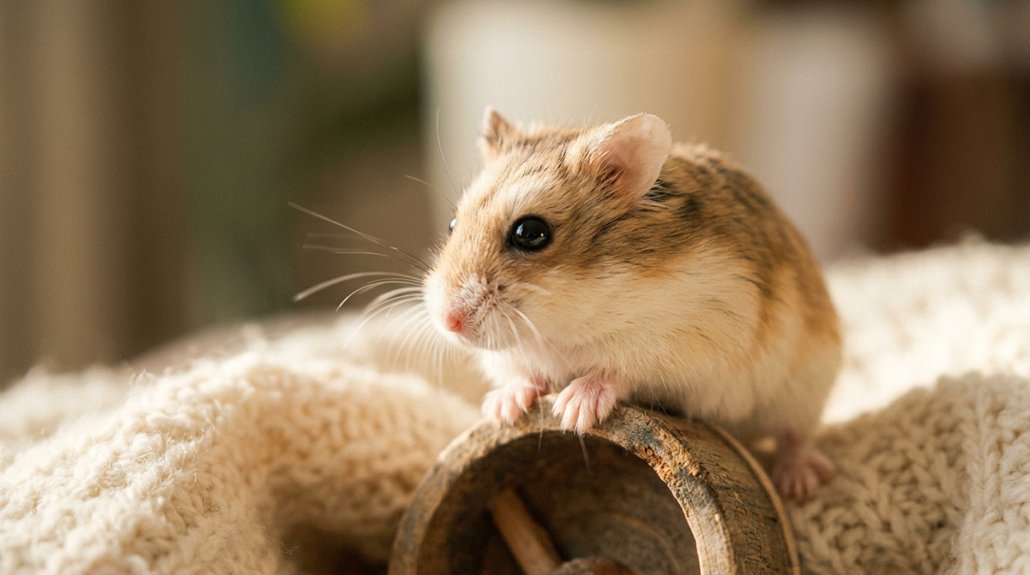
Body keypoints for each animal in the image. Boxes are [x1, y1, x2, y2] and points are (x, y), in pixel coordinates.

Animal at [423, 108, 841, 500]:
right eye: (451, 224)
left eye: (531, 233)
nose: (448, 321)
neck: (563, 327)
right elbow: (525, 375)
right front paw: (502, 410)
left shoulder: (686, 340)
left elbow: (620, 368)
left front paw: (573, 410)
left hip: (806, 388)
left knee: (796, 436)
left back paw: (800, 483)